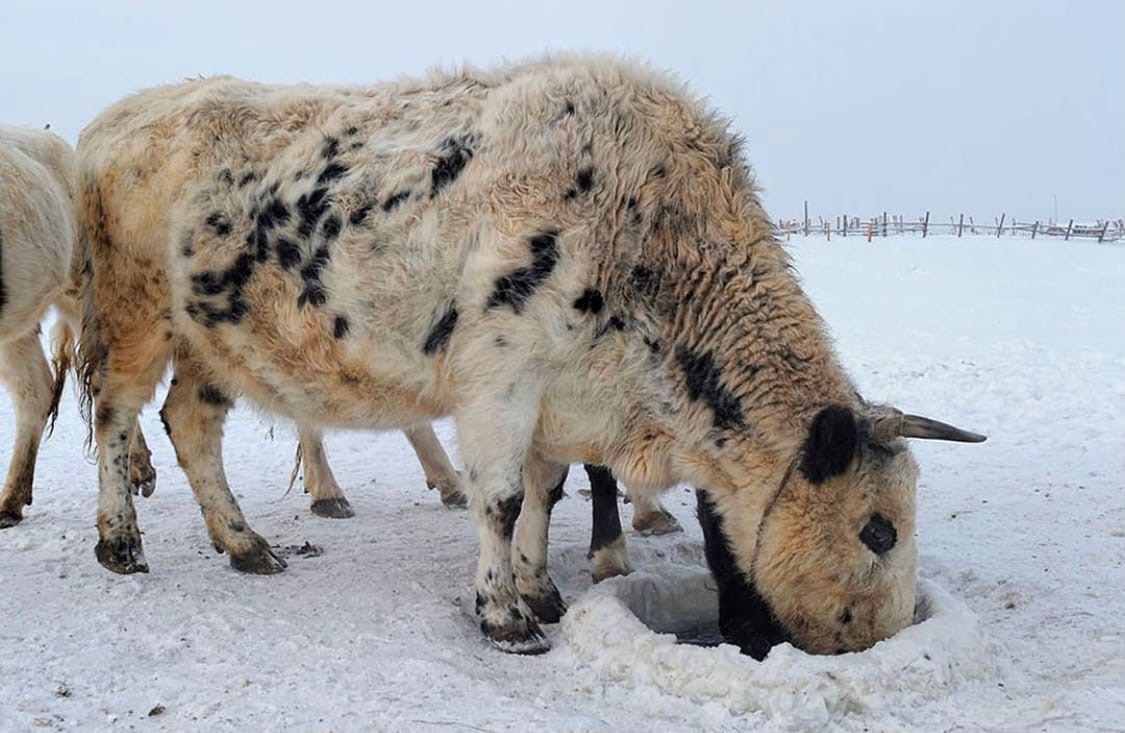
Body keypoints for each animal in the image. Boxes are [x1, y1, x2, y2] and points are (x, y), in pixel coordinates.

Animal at [74, 54, 985, 656]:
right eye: (877, 529)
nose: (879, 635)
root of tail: (110, 122)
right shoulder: (499, 381)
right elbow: (501, 498)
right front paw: (504, 613)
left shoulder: (559, 398)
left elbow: (545, 493)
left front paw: (540, 587)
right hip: (133, 313)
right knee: (118, 416)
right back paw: (121, 544)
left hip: (208, 338)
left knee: (191, 426)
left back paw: (244, 544)